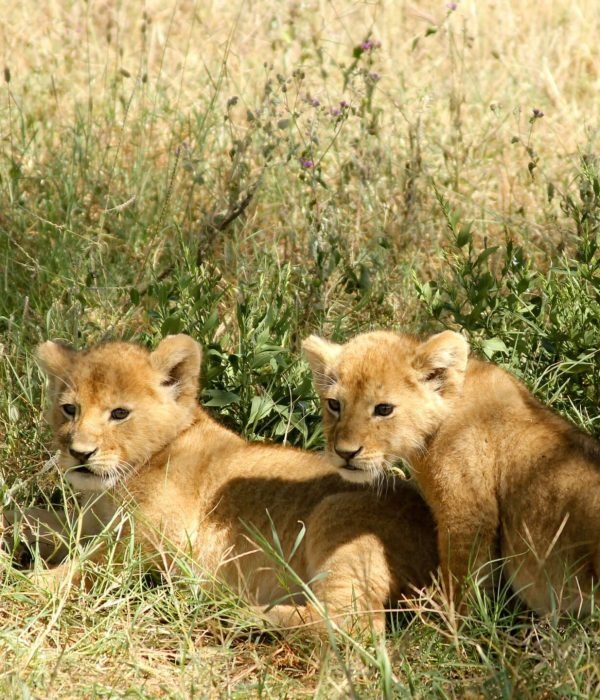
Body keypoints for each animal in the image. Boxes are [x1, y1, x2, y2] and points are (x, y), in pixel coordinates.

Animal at [3, 334, 437, 634]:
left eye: (119, 414)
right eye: (69, 409)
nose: (79, 453)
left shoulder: (159, 543)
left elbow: (88, 567)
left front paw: (23, 583)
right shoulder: (90, 523)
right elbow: (31, 517)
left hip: (339, 518)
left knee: (351, 623)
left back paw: (235, 613)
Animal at [302, 330, 600, 616]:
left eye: (383, 409)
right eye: (334, 404)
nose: (344, 453)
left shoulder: (468, 515)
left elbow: (463, 579)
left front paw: (455, 622)